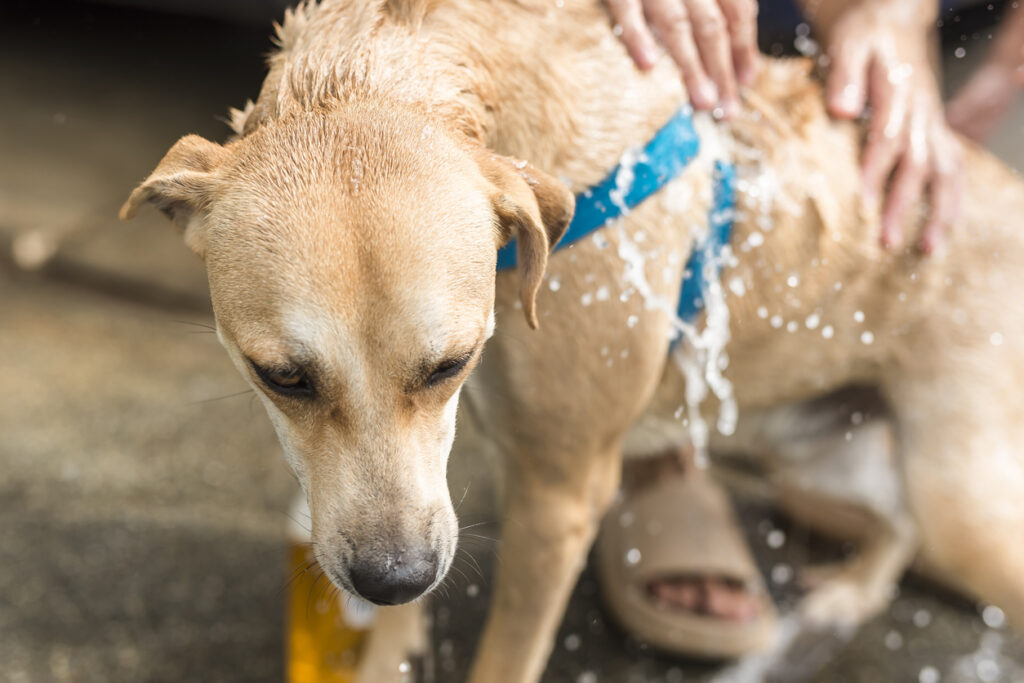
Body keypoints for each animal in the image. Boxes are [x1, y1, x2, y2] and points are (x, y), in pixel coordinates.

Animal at [123, 2, 1024, 679]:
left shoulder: (558, 496)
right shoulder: (423, 493)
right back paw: (846, 594)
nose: (392, 579)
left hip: (962, 500)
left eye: (451, 362)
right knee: (896, 522)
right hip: (819, 447)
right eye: (281, 376)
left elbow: (504, 656)